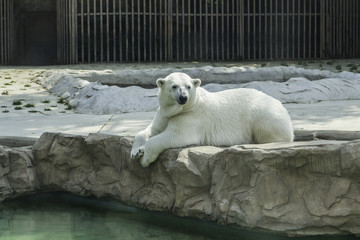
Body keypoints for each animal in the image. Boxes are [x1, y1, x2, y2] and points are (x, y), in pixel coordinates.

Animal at [131, 72, 294, 168]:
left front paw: (145, 158)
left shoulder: (191, 117)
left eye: (188, 87)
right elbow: (152, 129)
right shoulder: (164, 114)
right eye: (174, 86)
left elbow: (175, 134)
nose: (183, 97)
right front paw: (136, 151)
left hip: (262, 113)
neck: (185, 107)